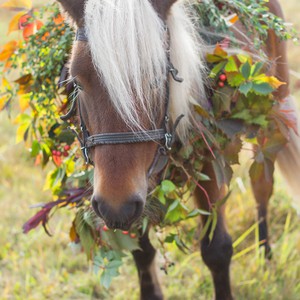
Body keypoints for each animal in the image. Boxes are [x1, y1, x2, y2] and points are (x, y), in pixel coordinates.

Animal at [55, 0, 298, 300]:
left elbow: (217, 250)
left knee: (262, 186)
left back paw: (265, 252)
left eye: (157, 78)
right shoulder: (137, 190)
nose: (115, 207)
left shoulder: (209, 165)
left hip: (271, 118)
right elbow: (142, 251)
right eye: (77, 82)